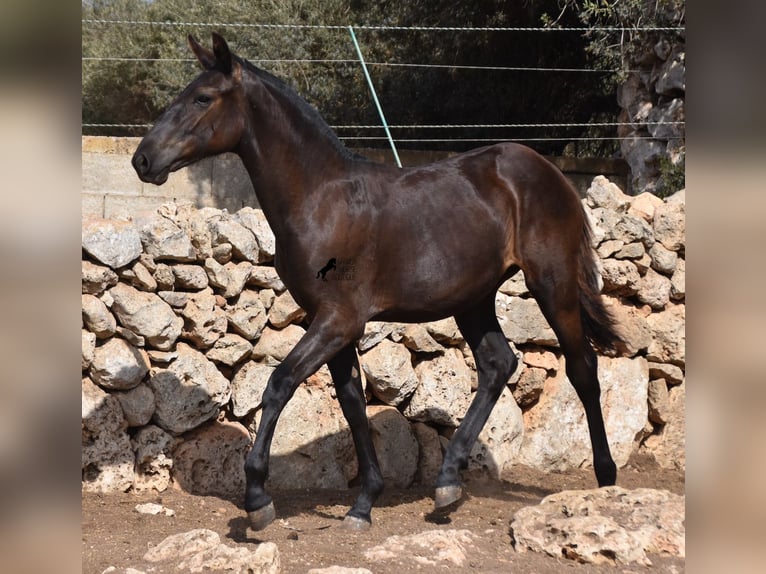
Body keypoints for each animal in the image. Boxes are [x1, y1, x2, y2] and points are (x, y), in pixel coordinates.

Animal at [134, 33, 624, 532]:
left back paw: (606, 480)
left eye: (202, 97)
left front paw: (257, 499)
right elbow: (351, 401)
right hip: (474, 298)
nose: (143, 159)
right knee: (497, 364)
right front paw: (363, 503)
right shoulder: (330, 321)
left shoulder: (339, 319)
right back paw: (447, 483)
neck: (320, 198)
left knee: (583, 367)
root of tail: (549, 172)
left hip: (552, 283)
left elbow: (280, 383)